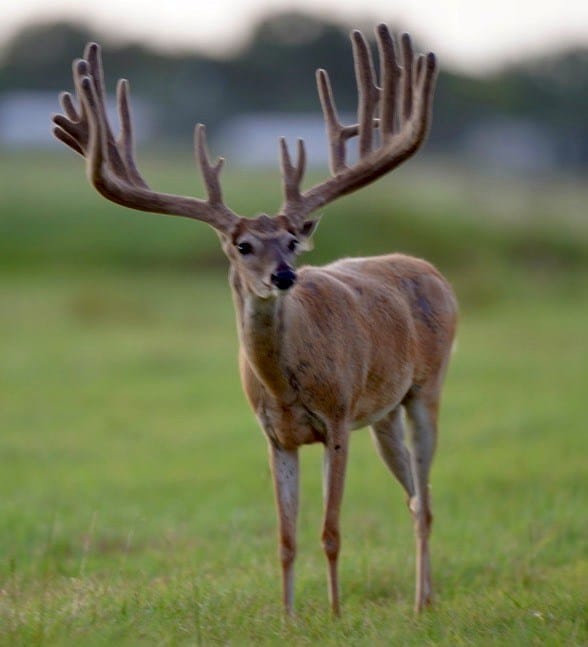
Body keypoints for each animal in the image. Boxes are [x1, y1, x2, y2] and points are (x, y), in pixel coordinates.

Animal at [52, 24, 458, 616]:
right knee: (413, 499)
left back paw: (421, 604)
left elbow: (330, 531)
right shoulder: (275, 436)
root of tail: (431, 270)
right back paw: (422, 599)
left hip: (426, 388)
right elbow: (286, 538)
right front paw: (288, 619)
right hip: (382, 413)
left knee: (425, 500)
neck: (285, 383)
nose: (285, 275)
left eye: (291, 240)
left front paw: (335, 615)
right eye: (243, 246)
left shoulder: (337, 418)